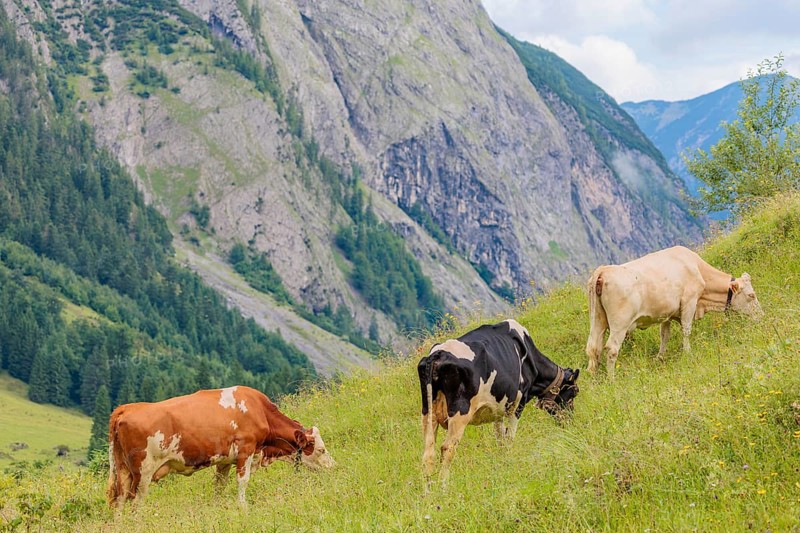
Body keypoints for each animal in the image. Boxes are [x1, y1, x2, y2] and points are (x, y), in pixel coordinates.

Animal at [106, 385, 335, 508]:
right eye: (321, 450)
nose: (333, 467)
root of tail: (125, 409)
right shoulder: (246, 450)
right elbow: (243, 481)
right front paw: (243, 507)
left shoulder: (224, 460)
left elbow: (219, 485)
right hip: (143, 471)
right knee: (135, 502)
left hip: (122, 469)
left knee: (119, 500)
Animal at [417, 319, 580, 485]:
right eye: (574, 393)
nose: (570, 422)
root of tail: (437, 355)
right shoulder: (518, 402)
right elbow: (509, 438)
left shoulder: (497, 409)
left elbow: (500, 438)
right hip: (460, 411)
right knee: (447, 448)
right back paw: (443, 486)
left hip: (428, 411)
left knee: (428, 453)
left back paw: (428, 489)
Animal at [586, 245, 763, 378]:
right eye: (751, 295)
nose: (761, 316)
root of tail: (603, 270)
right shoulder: (689, 302)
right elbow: (686, 330)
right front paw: (688, 354)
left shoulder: (667, 314)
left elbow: (665, 335)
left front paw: (660, 357)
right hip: (619, 324)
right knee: (611, 349)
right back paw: (611, 380)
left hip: (597, 320)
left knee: (594, 348)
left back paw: (594, 378)